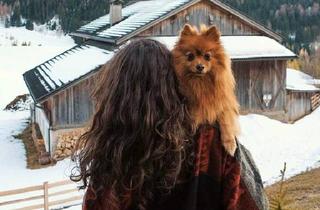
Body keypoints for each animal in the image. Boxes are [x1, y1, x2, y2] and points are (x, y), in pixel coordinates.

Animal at [172, 24, 240, 156]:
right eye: (190, 56)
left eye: (207, 56)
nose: (200, 66)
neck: (201, 83)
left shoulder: (223, 103)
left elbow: (226, 120)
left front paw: (230, 144)